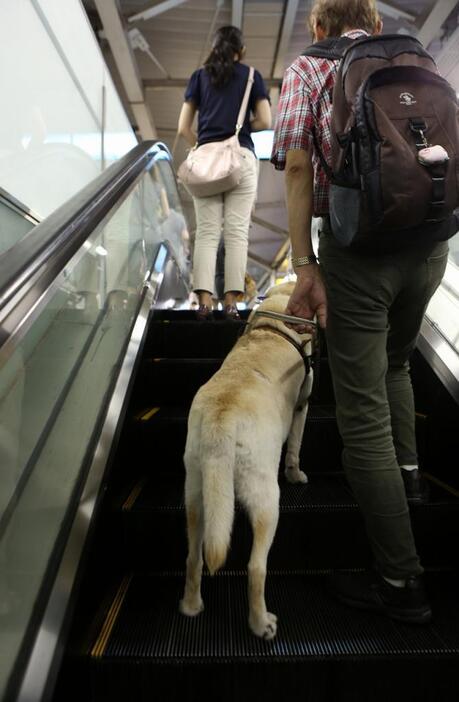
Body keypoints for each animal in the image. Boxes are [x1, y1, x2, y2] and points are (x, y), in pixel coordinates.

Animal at [179, 284, 312, 644]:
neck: (273, 325)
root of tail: (220, 420)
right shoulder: (302, 406)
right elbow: (295, 446)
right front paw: (296, 474)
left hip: (197, 491)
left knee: (194, 556)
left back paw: (191, 606)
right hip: (265, 497)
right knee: (255, 567)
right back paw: (260, 623)